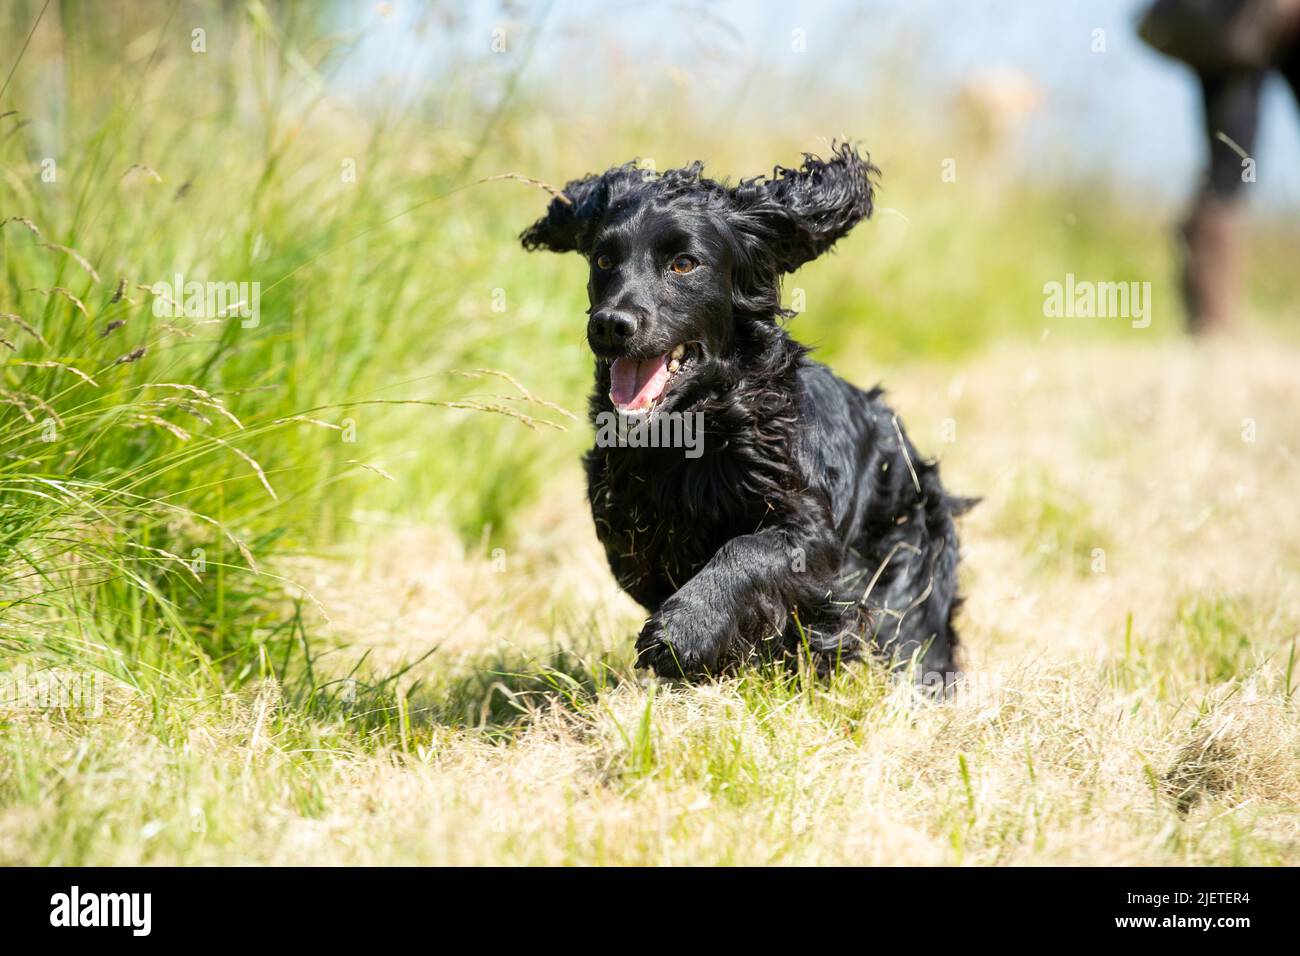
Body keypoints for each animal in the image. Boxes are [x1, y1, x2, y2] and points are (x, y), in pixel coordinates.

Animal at [522, 141, 972, 686]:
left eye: (683, 263)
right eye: (604, 258)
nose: (610, 324)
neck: (688, 433)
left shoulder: (807, 527)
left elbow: (746, 551)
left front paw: (682, 631)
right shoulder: (627, 528)